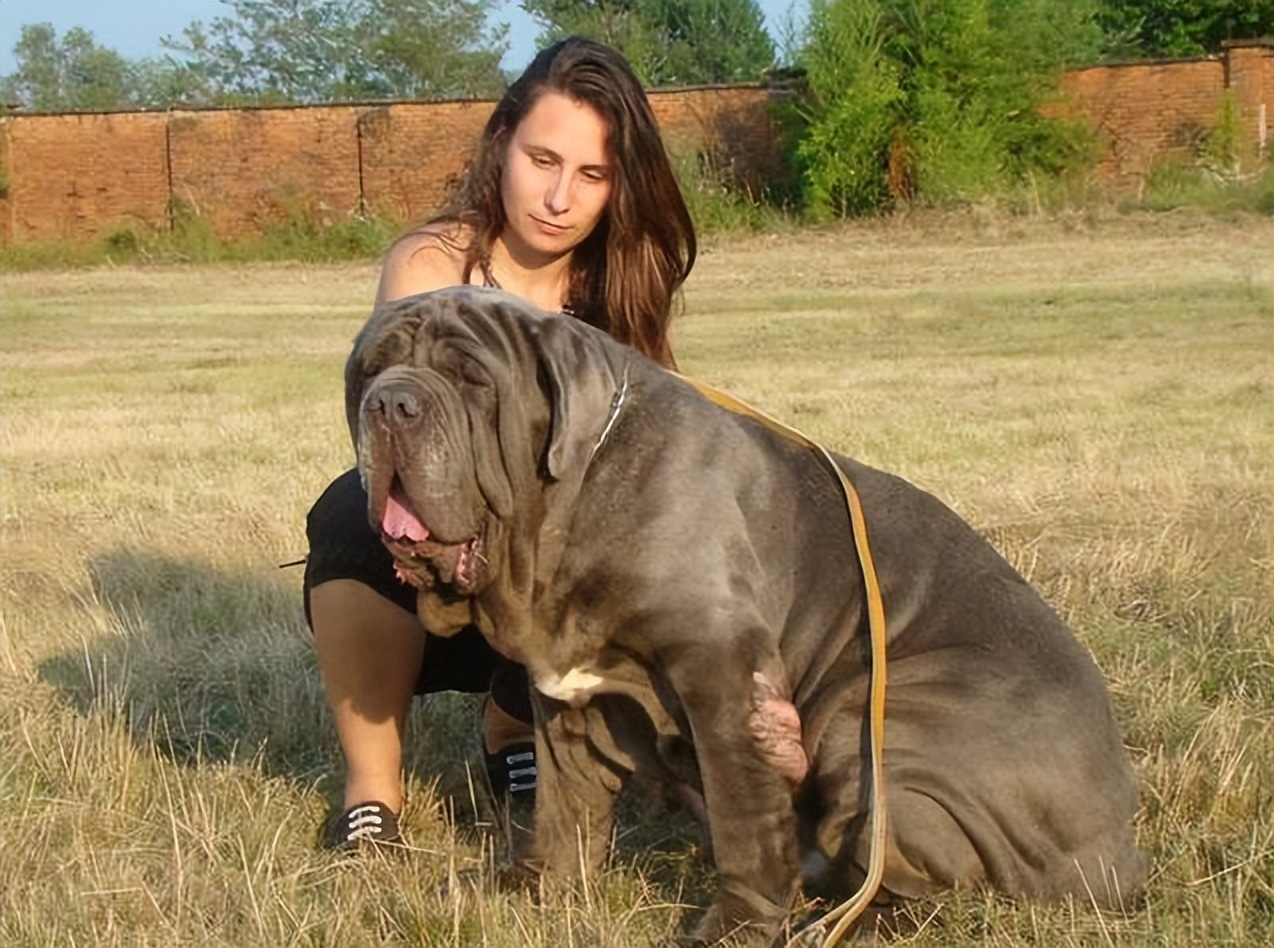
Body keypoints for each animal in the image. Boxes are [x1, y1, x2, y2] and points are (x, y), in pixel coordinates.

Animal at [346, 285, 1146, 942]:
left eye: (472, 378)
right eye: (367, 371)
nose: (391, 402)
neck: (551, 523)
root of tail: (1121, 858)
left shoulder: (721, 671)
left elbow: (744, 813)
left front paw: (736, 926)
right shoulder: (563, 697)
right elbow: (564, 802)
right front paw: (534, 886)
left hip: (874, 730)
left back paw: (844, 916)